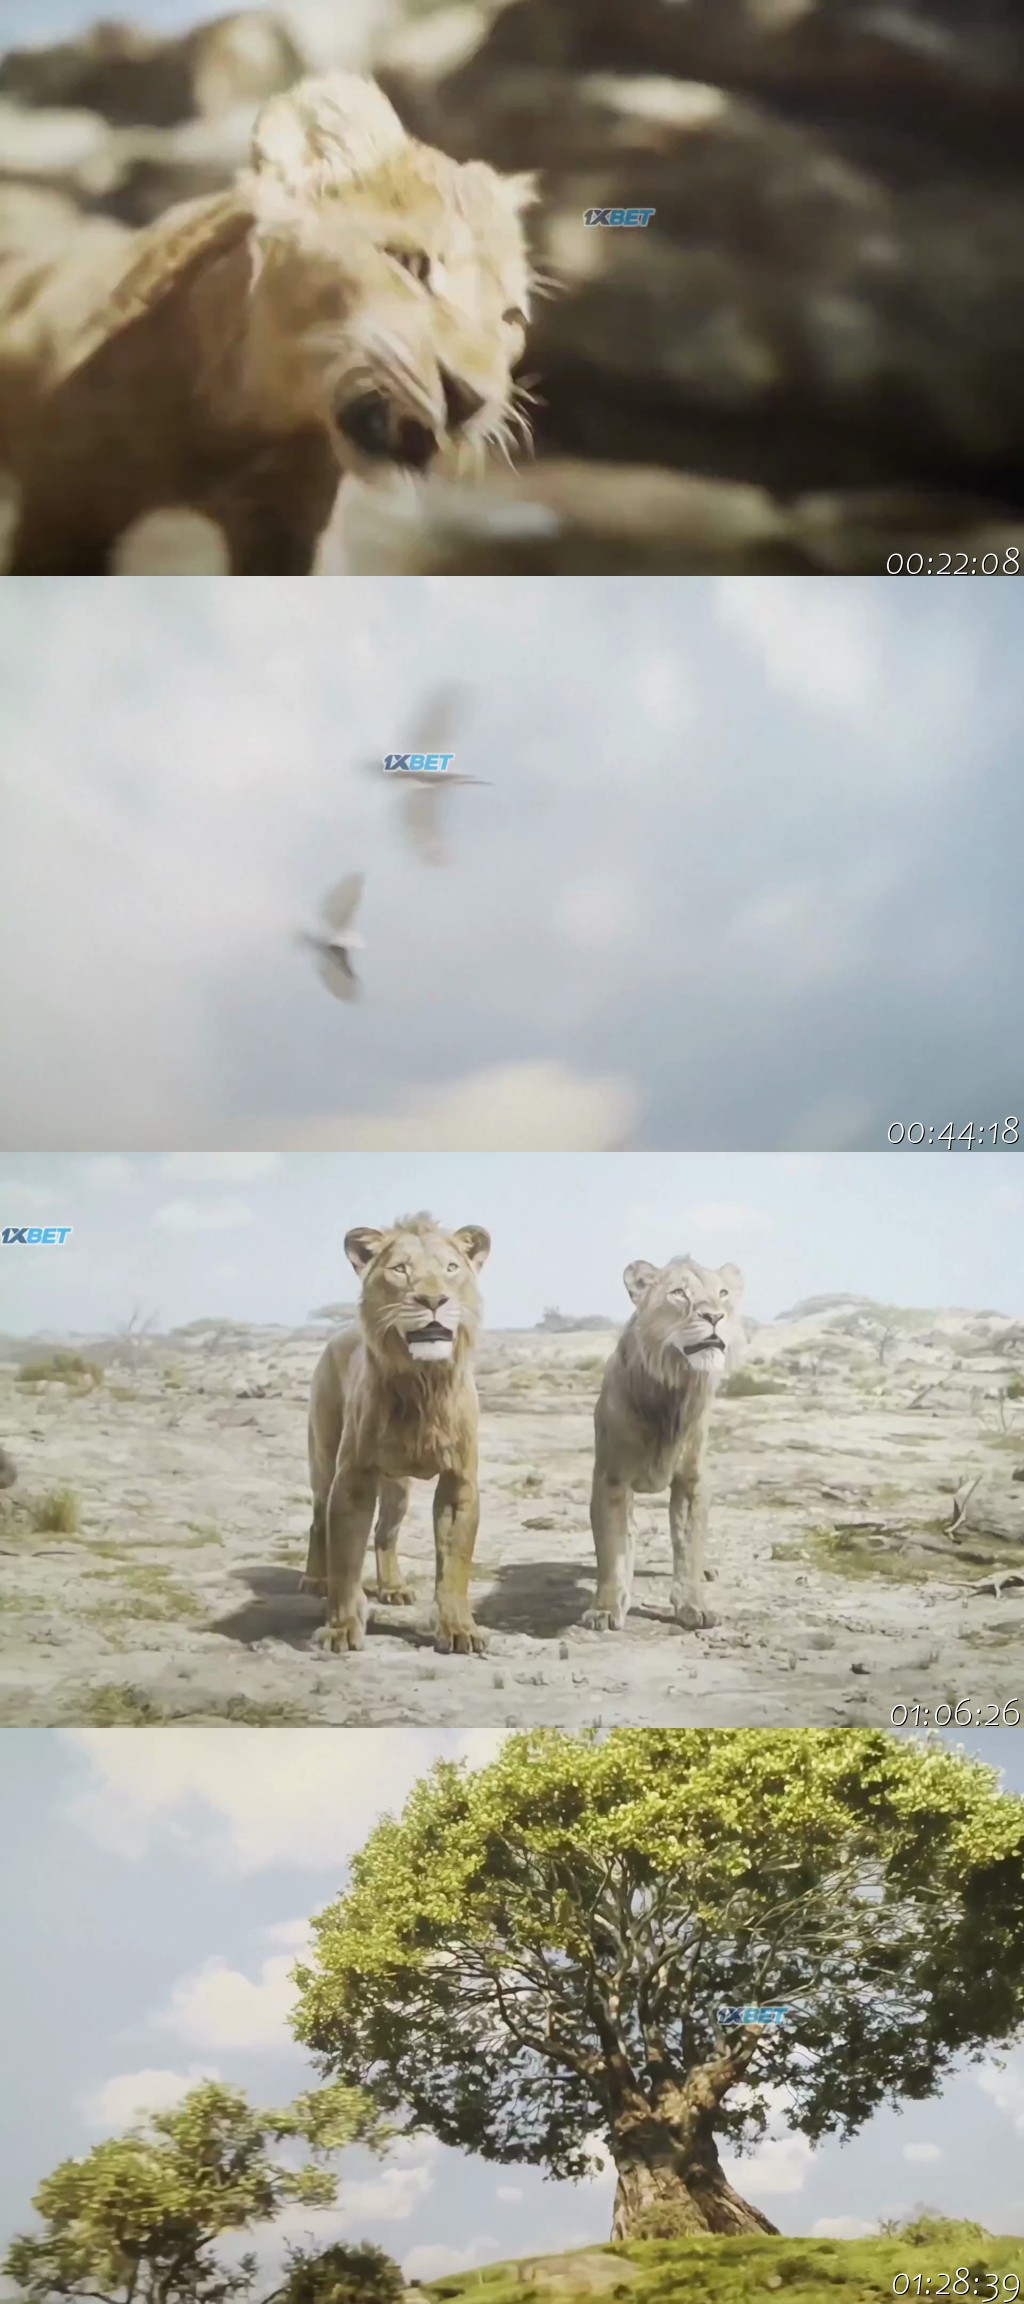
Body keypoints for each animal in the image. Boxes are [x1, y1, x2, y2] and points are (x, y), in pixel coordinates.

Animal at [3, 73, 536, 574]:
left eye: (511, 318)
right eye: (410, 264)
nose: (471, 399)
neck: (241, 419)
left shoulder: (287, 532)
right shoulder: (61, 513)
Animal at [305, 1211, 491, 1657]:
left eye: (451, 1268)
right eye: (401, 1270)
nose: (433, 1301)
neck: (423, 1383)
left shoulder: (459, 1482)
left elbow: (454, 1565)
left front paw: (459, 1629)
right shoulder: (352, 1478)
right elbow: (345, 1561)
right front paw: (341, 1627)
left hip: (398, 1487)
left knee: (385, 1533)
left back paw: (393, 1587)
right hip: (322, 1461)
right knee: (317, 1520)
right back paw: (314, 1579)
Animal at [582, 1254, 744, 1635]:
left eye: (723, 1293)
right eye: (679, 1294)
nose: (714, 1316)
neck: (675, 1391)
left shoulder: (692, 1481)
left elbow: (688, 1548)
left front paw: (694, 1606)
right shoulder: (611, 1480)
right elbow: (612, 1549)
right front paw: (605, 1609)